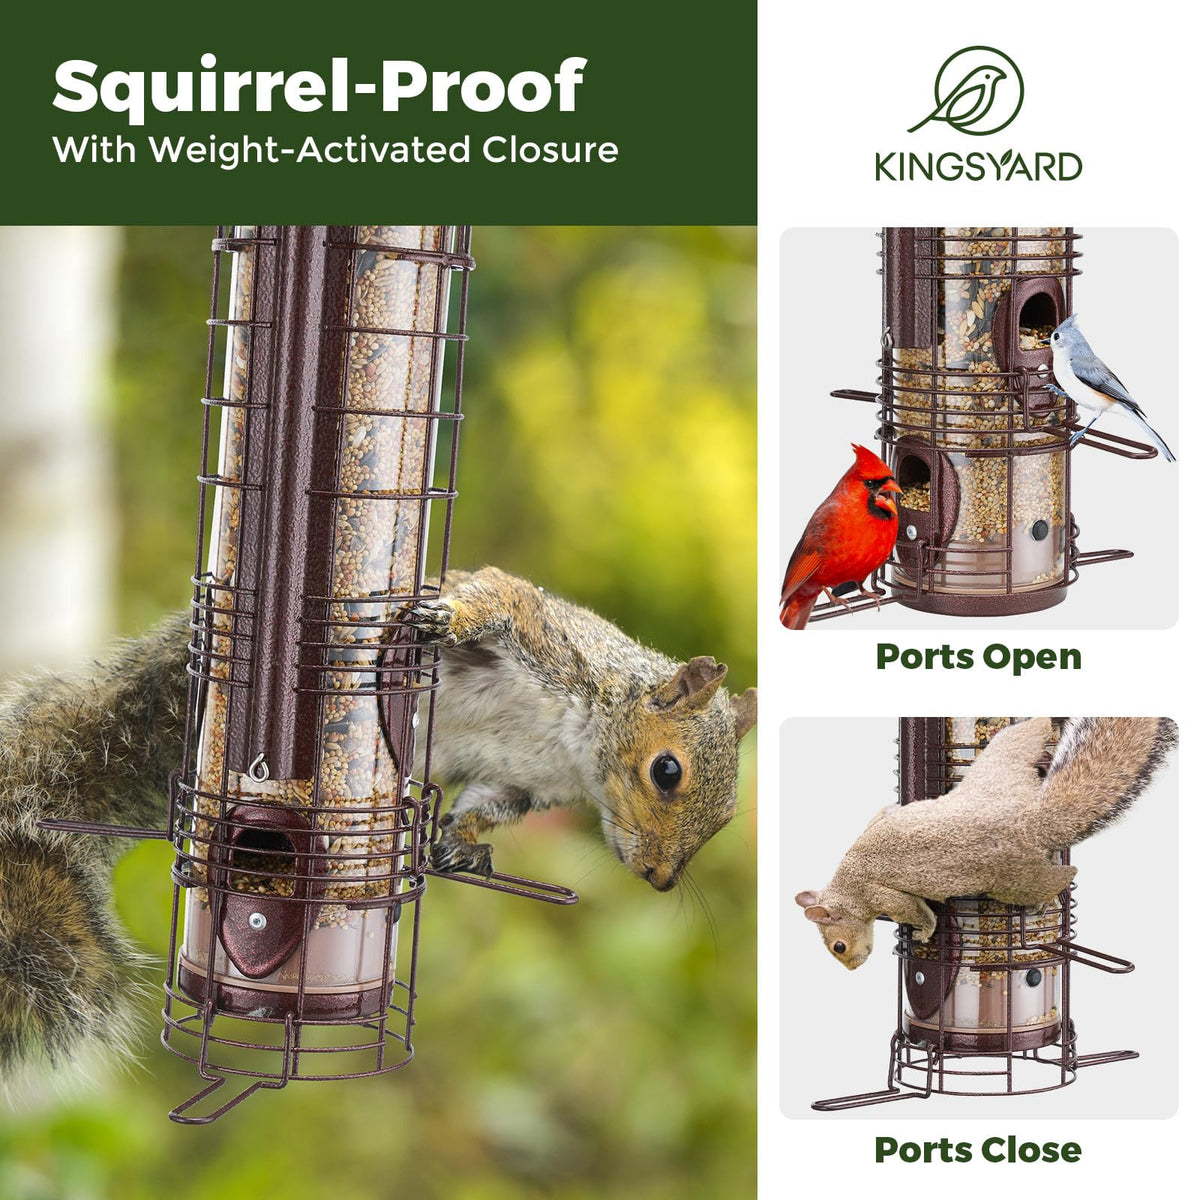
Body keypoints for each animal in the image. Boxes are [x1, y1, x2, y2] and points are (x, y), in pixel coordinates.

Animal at [0, 569, 754, 1081]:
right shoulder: (550, 641)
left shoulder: (520, 783)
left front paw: (462, 848)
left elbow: (482, 806)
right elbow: (498, 597)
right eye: (667, 771)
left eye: (723, 817)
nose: (659, 878)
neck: (578, 753)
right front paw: (443, 617)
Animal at [796, 717, 1176, 971]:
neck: (847, 885)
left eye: (839, 946)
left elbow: (915, 910)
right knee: (1026, 736)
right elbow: (887, 812)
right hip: (1003, 766)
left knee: (1057, 877)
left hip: (1012, 879)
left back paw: (1055, 890)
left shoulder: (879, 894)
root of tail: (1031, 821)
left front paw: (924, 932)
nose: (853, 967)